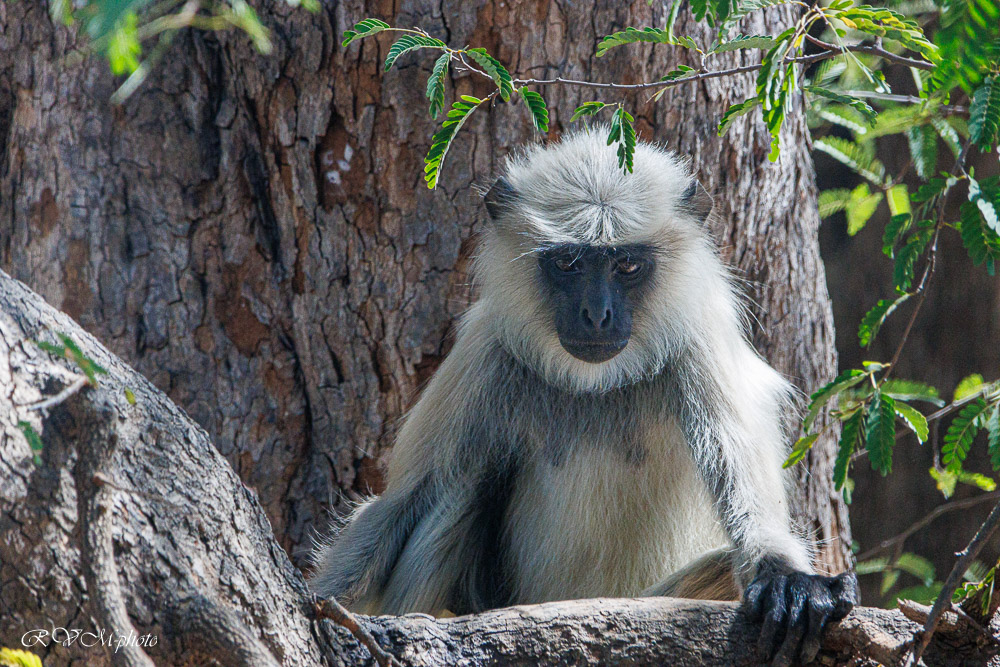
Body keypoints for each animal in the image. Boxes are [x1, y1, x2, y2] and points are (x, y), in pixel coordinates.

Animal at [310, 129, 858, 665]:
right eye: (569, 263)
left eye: (627, 265)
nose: (597, 315)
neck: (599, 384)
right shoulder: (486, 349)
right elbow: (399, 504)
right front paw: (322, 604)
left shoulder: (701, 338)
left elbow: (750, 496)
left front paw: (789, 578)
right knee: (458, 488)